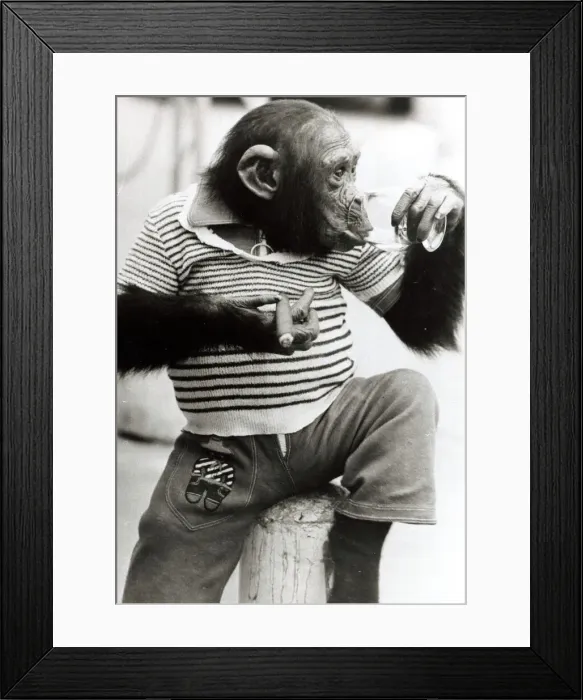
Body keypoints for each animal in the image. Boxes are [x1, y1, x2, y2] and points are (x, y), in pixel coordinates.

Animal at [118, 99, 464, 604]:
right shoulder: (158, 230)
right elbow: (126, 323)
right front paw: (248, 322)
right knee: (172, 563)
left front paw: (441, 201)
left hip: (322, 439)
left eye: (353, 170)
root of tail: (290, 483)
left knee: (405, 396)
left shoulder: (352, 251)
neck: (261, 225)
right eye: (339, 172)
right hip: (200, 490)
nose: (359, 198)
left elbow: (416, 319)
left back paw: (357, 567)